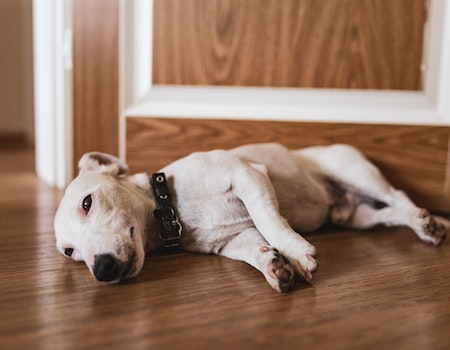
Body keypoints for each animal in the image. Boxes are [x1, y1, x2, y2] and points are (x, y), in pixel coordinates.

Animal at [54, 143, 448, 292]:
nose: (102, 269)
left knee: (398, 197)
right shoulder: (233, 241)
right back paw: (429, 225)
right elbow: (255, 250)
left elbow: (269, 220)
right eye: (69, 252)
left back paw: (427, 222)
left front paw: (297, 254)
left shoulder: (247, 176)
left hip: (356, 171)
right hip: (360, 218)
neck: (171, 208)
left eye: (87, 203)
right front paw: (277, 266)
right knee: (390, 214)